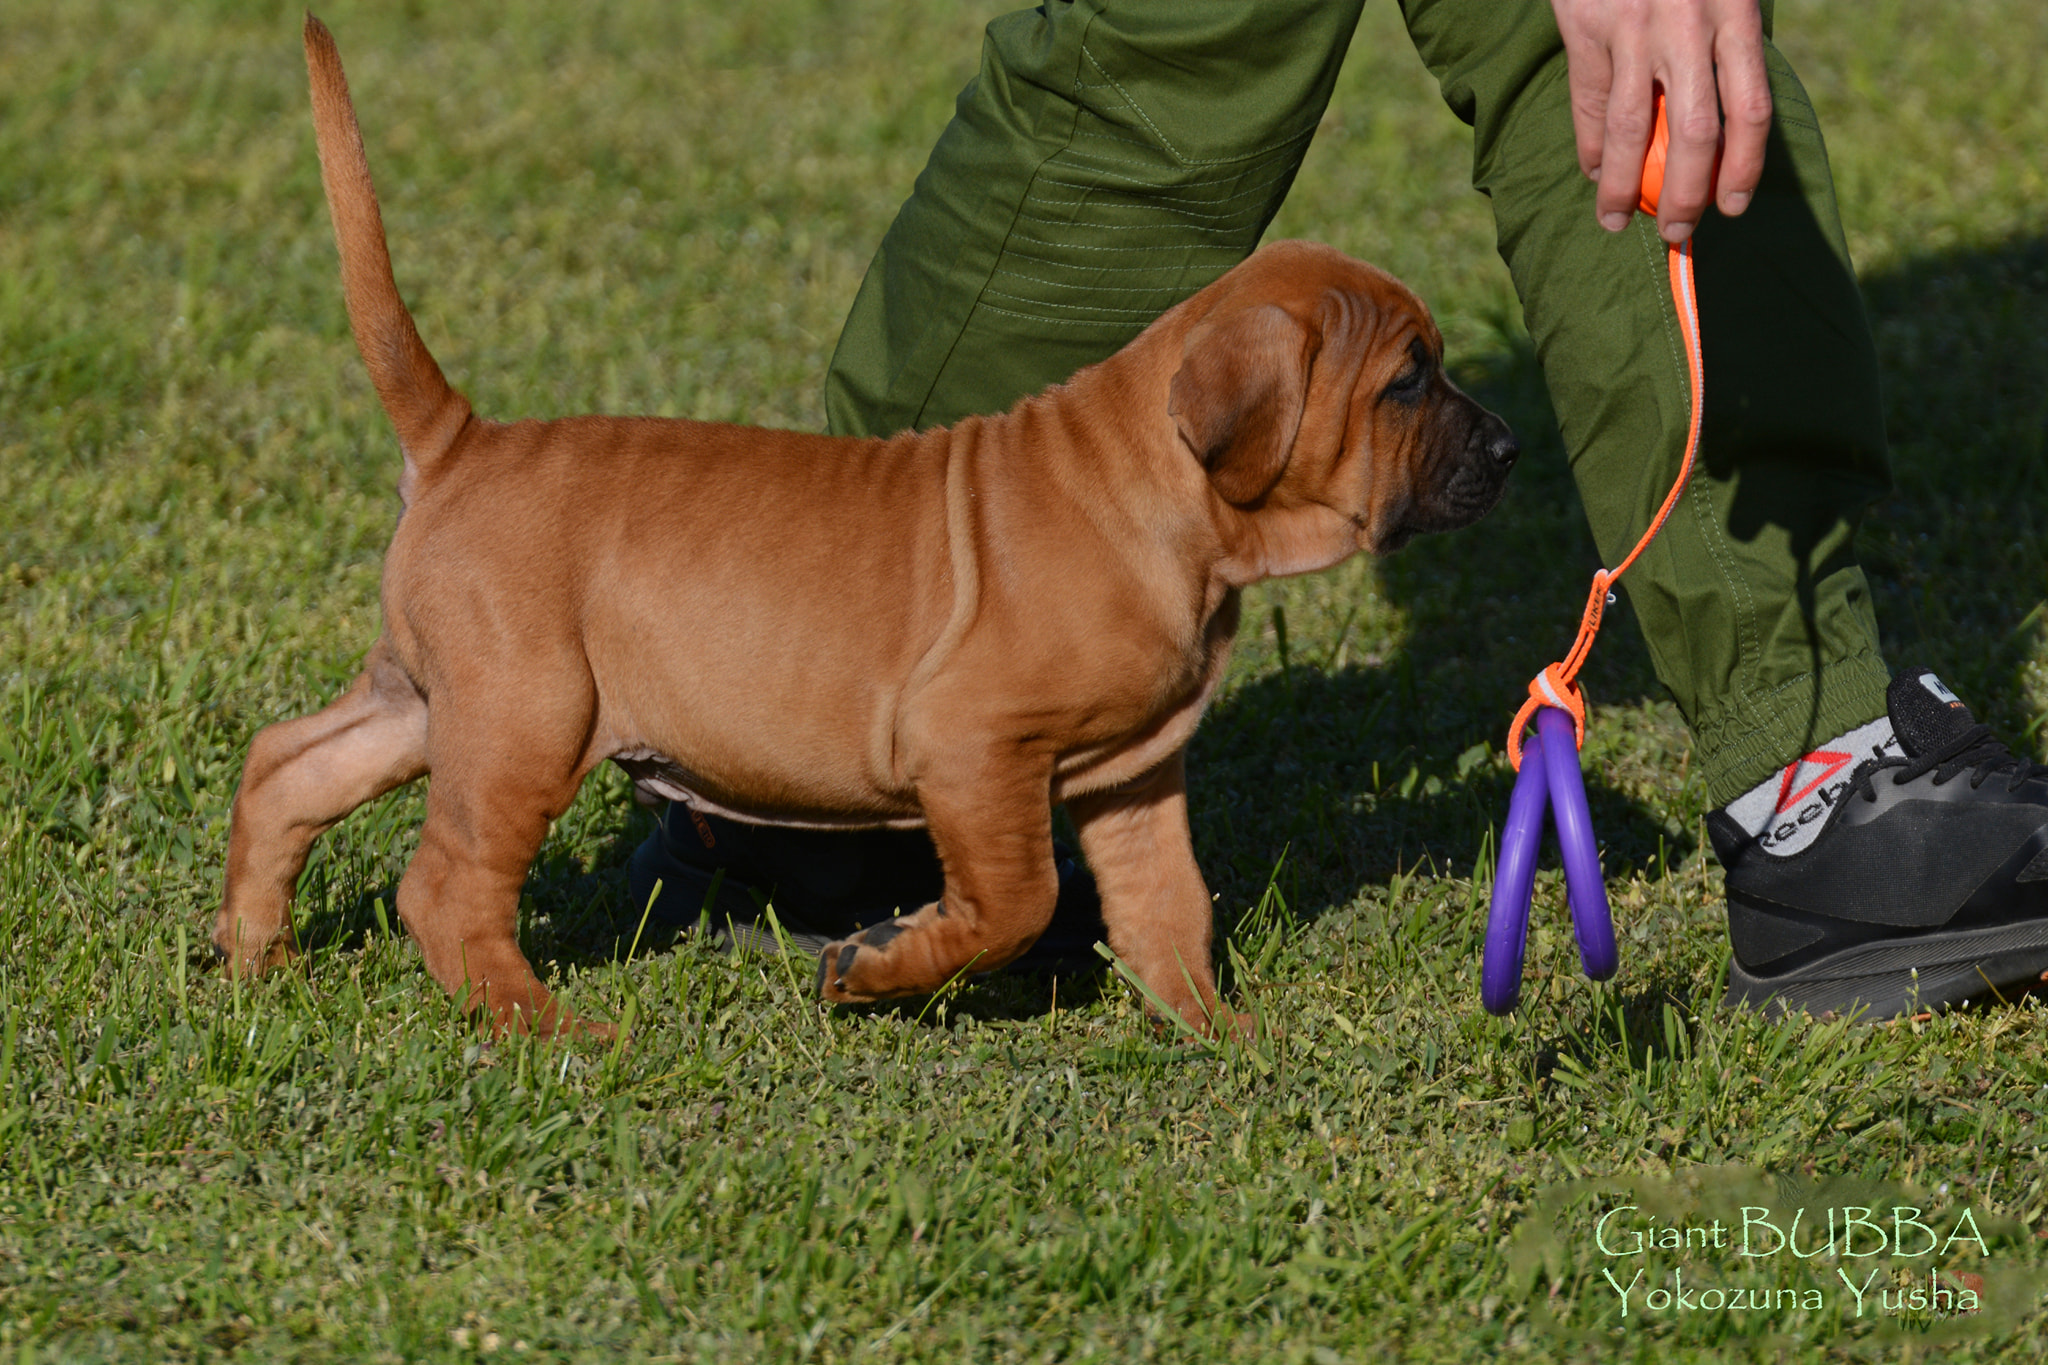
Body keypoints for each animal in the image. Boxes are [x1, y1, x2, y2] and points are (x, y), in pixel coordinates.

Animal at [211, 15, 1523, 1039]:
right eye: (1407, 383)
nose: (1510, 449)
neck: (1161, 498)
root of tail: (463, 441)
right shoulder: (975, 751)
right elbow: (1012, 904)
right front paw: (876, 971)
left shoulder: (1134, 775)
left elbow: (1168, 907)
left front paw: (1220, 1037)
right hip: (529, 715)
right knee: (443, 885)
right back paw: (546, 1026)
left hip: (434, 699)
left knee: (287, 765)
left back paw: (251, 955)